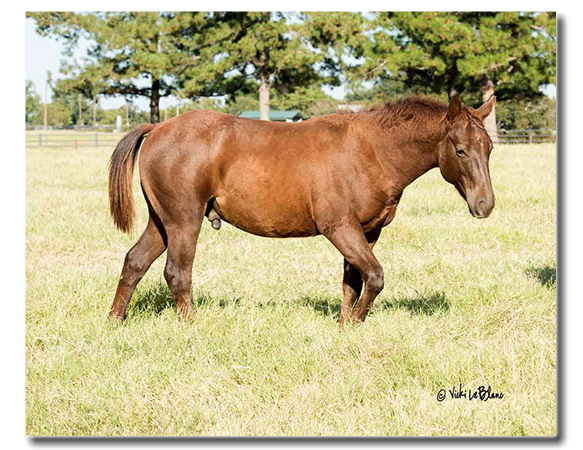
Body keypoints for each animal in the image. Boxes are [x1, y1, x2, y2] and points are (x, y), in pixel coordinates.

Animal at [108, 94, 496, 326]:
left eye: (489, 147)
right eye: (460, 150)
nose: (485, 205)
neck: (371, 151)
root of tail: (158, 127)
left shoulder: (367, 231)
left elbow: (353, 281)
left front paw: (345, 326)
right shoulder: (339, 227)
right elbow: (374, 276)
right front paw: (355, 323)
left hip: (162, 222)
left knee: (135, 262)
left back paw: (115, 319)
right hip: (184, 221)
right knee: (177, 273)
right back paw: (192, 325)